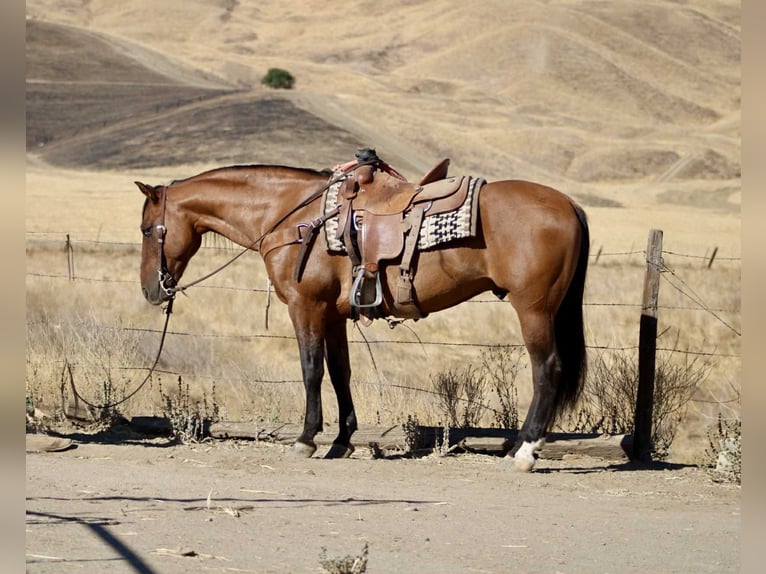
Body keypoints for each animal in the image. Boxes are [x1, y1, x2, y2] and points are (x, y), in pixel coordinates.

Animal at [136, 159, 589, 471]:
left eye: (145, 229)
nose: (151, 290)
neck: (294, 218)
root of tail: (568, 204)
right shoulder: (334, 316)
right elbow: (340, 373)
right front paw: (342, 440)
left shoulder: (306, 307)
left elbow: (311, 370)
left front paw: (306, 439)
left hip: (533, 309)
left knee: (547, 369)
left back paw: (525, 450)